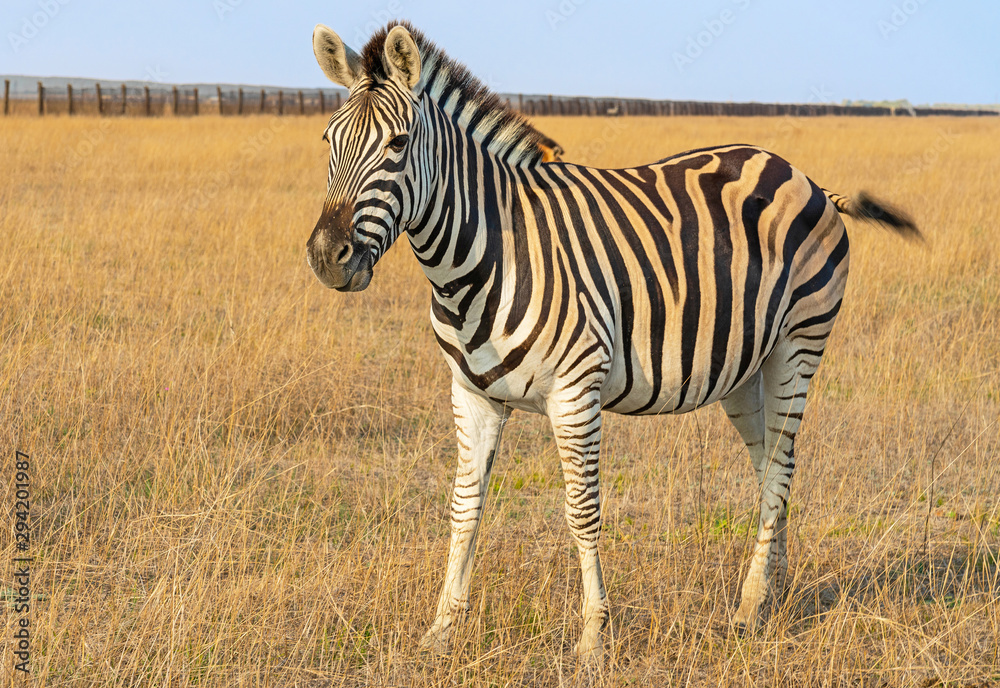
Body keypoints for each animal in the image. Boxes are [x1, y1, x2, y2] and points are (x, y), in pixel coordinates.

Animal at [306, 21, 921, 659]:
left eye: (398, 145)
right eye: (327, 141)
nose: (327, 258)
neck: (482, 255)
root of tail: (802, 174)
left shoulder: (575, 392)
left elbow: (582, 511)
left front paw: (592, 638)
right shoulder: (471, 394)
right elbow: (464, 507)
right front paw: (441, 631)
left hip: (797, 345)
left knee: (780, 465)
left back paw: (750, 609)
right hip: (744, 368)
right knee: (771, 469)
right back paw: (766, 595)